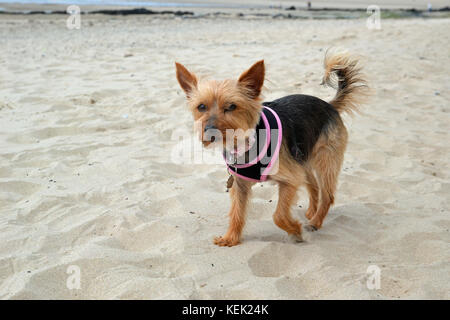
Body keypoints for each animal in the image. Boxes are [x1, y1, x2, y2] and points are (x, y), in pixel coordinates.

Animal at [174, 51, 368, 246]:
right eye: (201, 107)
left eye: (231, 107)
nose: (210, 131)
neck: (245, 143)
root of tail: (329, 105)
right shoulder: (240, 185)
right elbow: (237, 213)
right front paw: (230, 238)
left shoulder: (290, 179)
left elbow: (279, 216)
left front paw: (296, 231)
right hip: (303, 159)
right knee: (313, 185)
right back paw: (311, 213)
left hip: (325, 161)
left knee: (327, 195)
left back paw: (315, 222)